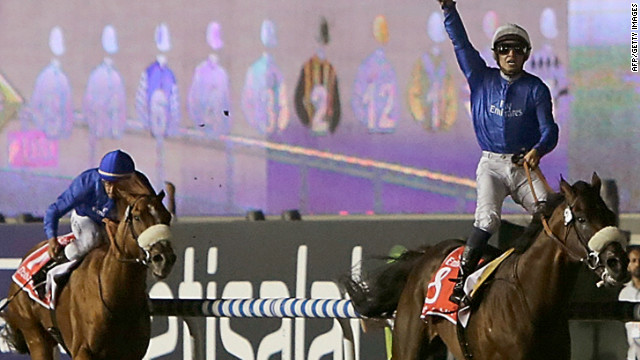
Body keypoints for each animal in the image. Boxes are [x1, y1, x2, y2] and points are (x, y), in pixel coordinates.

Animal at [1, 194, 176, 360]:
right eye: (137, 217)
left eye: (167, 216)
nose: (164, 259)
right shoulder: (83, 351)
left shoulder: (132, 354)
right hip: (35, 335)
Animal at [344, 173, 632, 358]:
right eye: (581, 218)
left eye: (609, 214)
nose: (618, 263)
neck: (532, 300)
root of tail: (427, 254)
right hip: (408, 344)